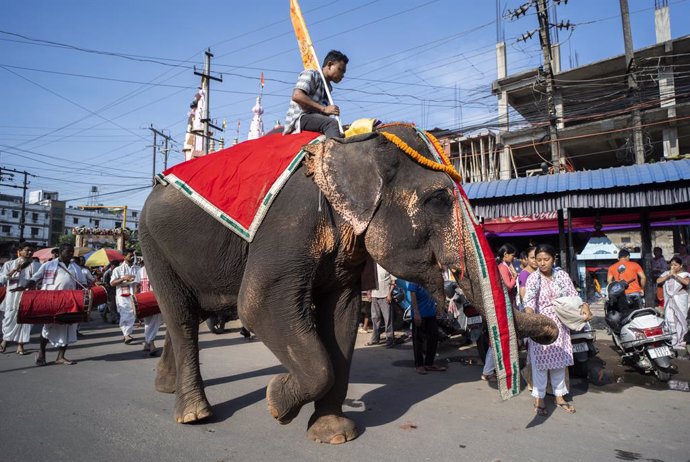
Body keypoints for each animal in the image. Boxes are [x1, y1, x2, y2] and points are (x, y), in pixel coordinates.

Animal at [138, 122, 552, 444]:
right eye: (437, 199)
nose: (550, 331)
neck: (355, 145)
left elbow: (343, 313)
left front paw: (333, 433)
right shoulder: (290, 221)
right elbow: (257, 304)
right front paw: (276, 402)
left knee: (191, 313)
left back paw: (165, 387)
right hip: (152, 243)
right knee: (182, 316)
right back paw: (194, 414)